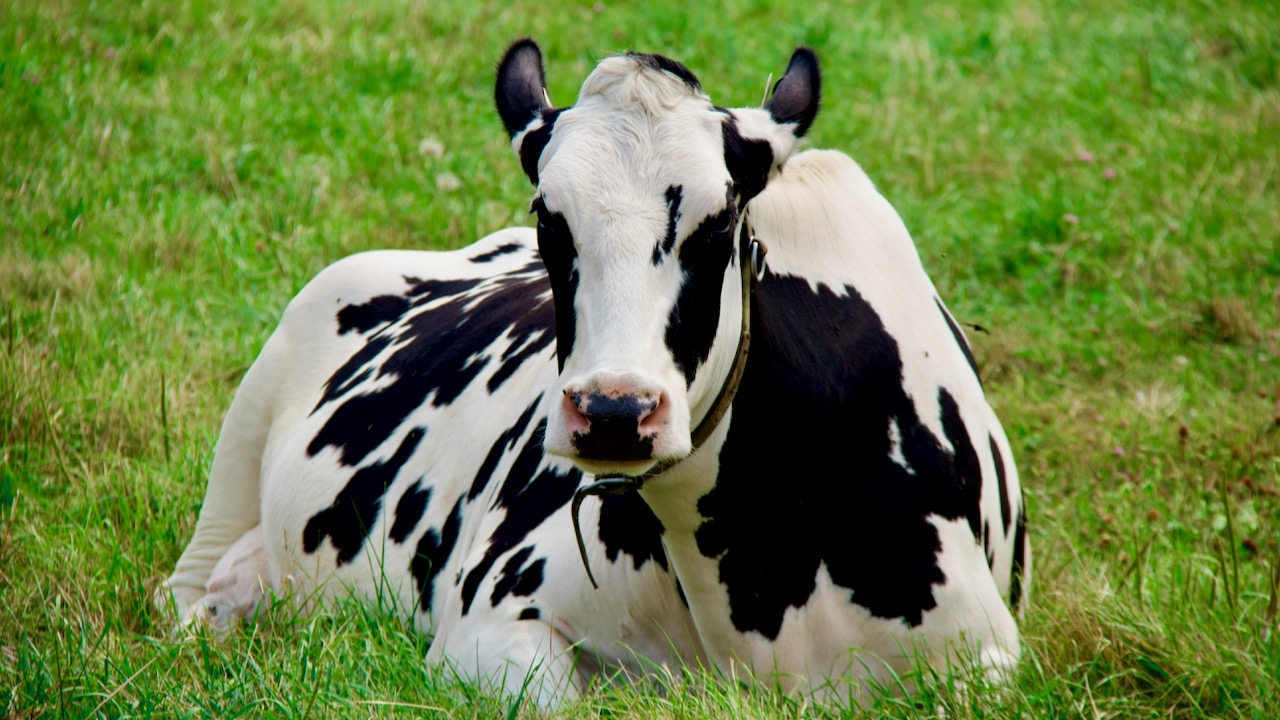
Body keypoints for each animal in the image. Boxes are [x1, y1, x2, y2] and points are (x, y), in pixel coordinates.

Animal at [159, 39, 1030, 707]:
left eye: (720, 220)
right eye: (550, 217)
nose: (614, 412)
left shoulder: (986, 660)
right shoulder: (487, 624)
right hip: (243, 439)